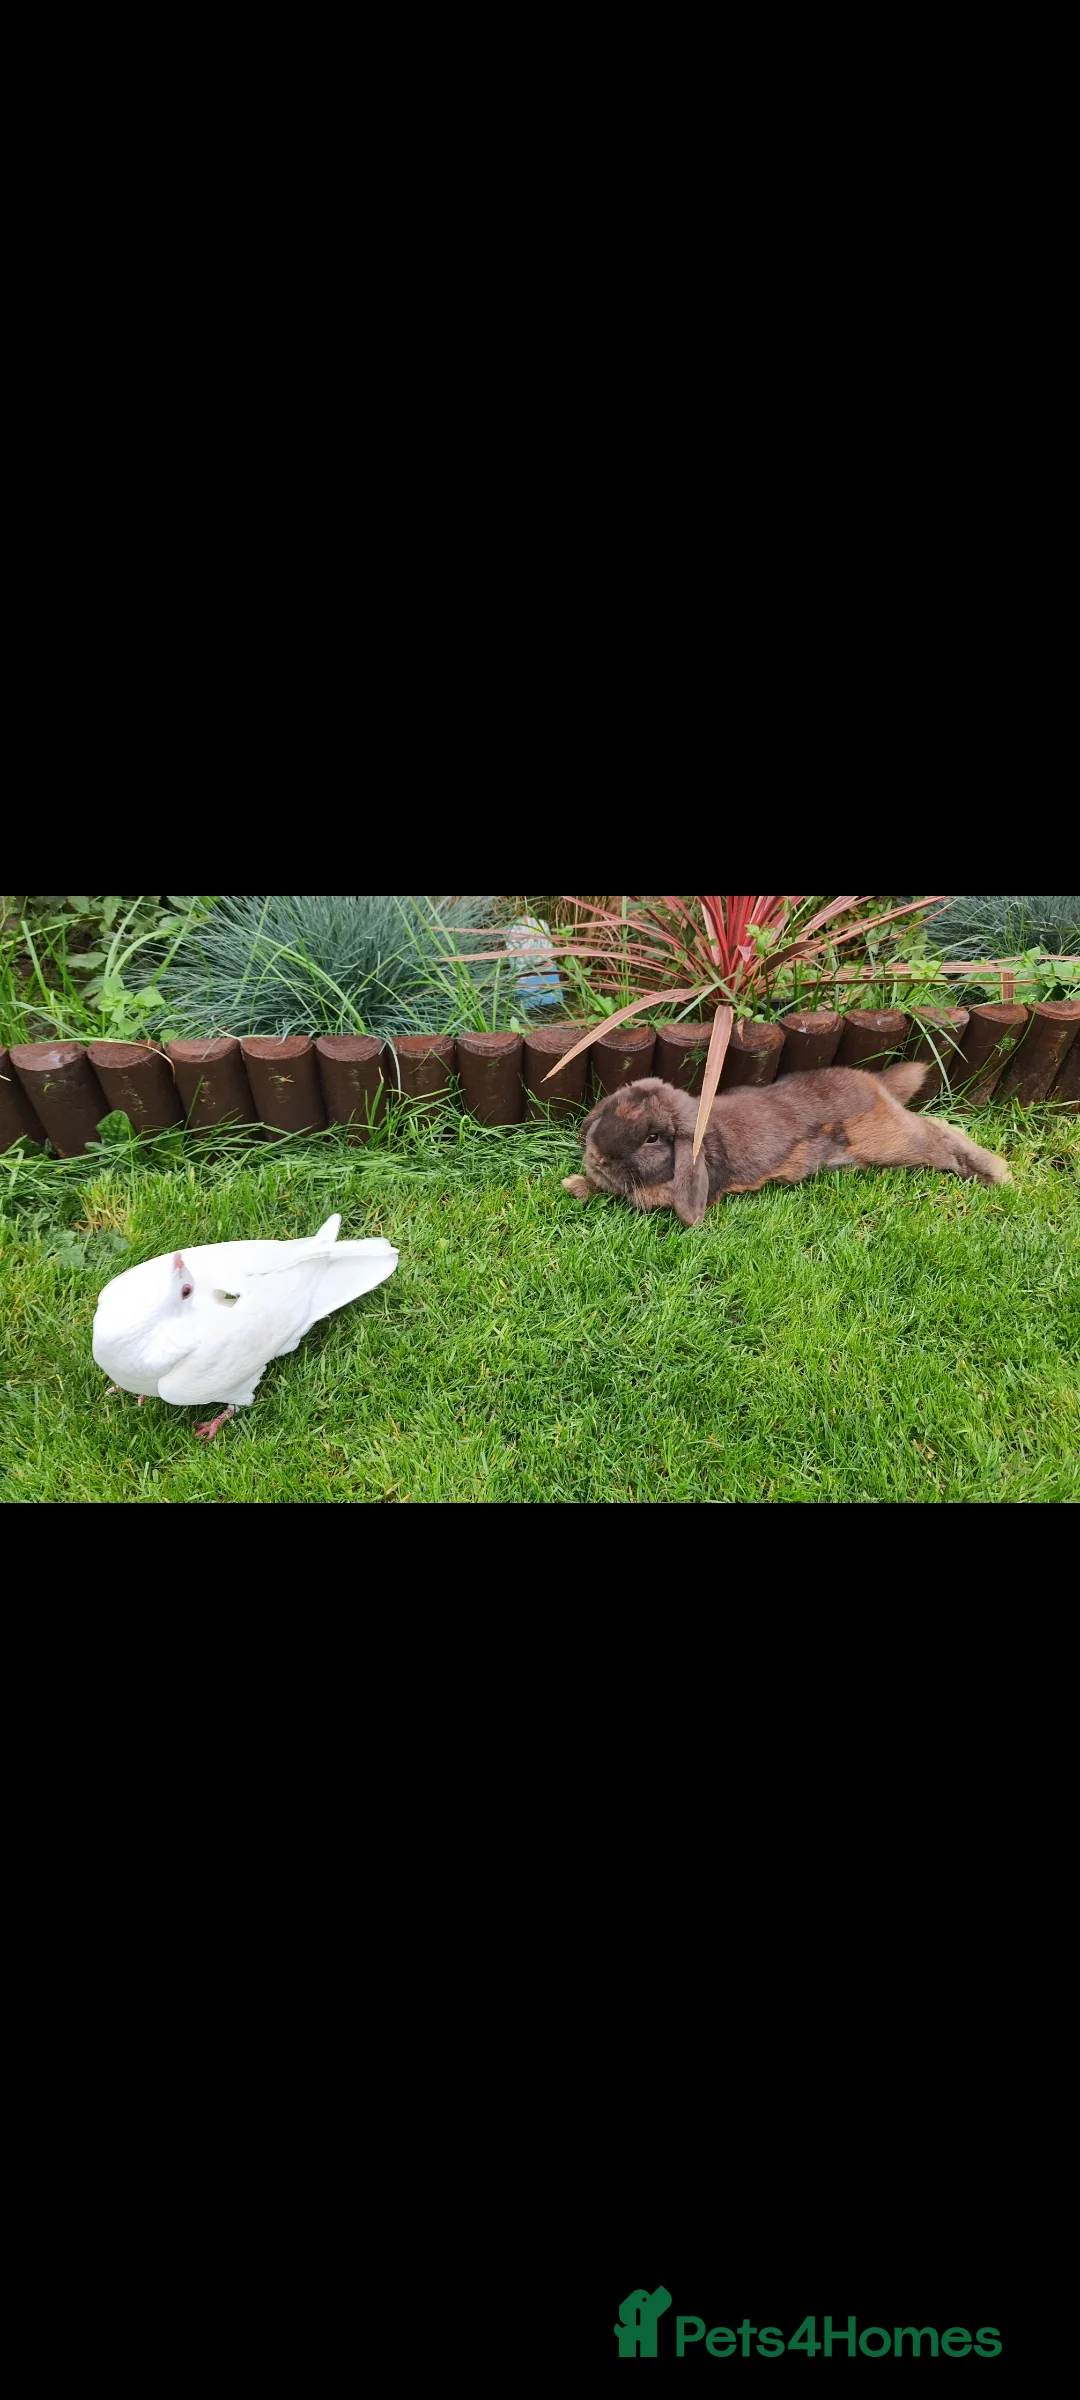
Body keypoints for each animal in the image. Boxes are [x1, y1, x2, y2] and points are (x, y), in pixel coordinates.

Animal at [562, 1063, 1011, 1226]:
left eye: (653, 1138)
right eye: (612, 1110)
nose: (597, 1156)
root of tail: (877, 1085)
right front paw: (575, 1185)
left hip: (892, 1142)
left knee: (939, 1134)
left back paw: (996, 1173)